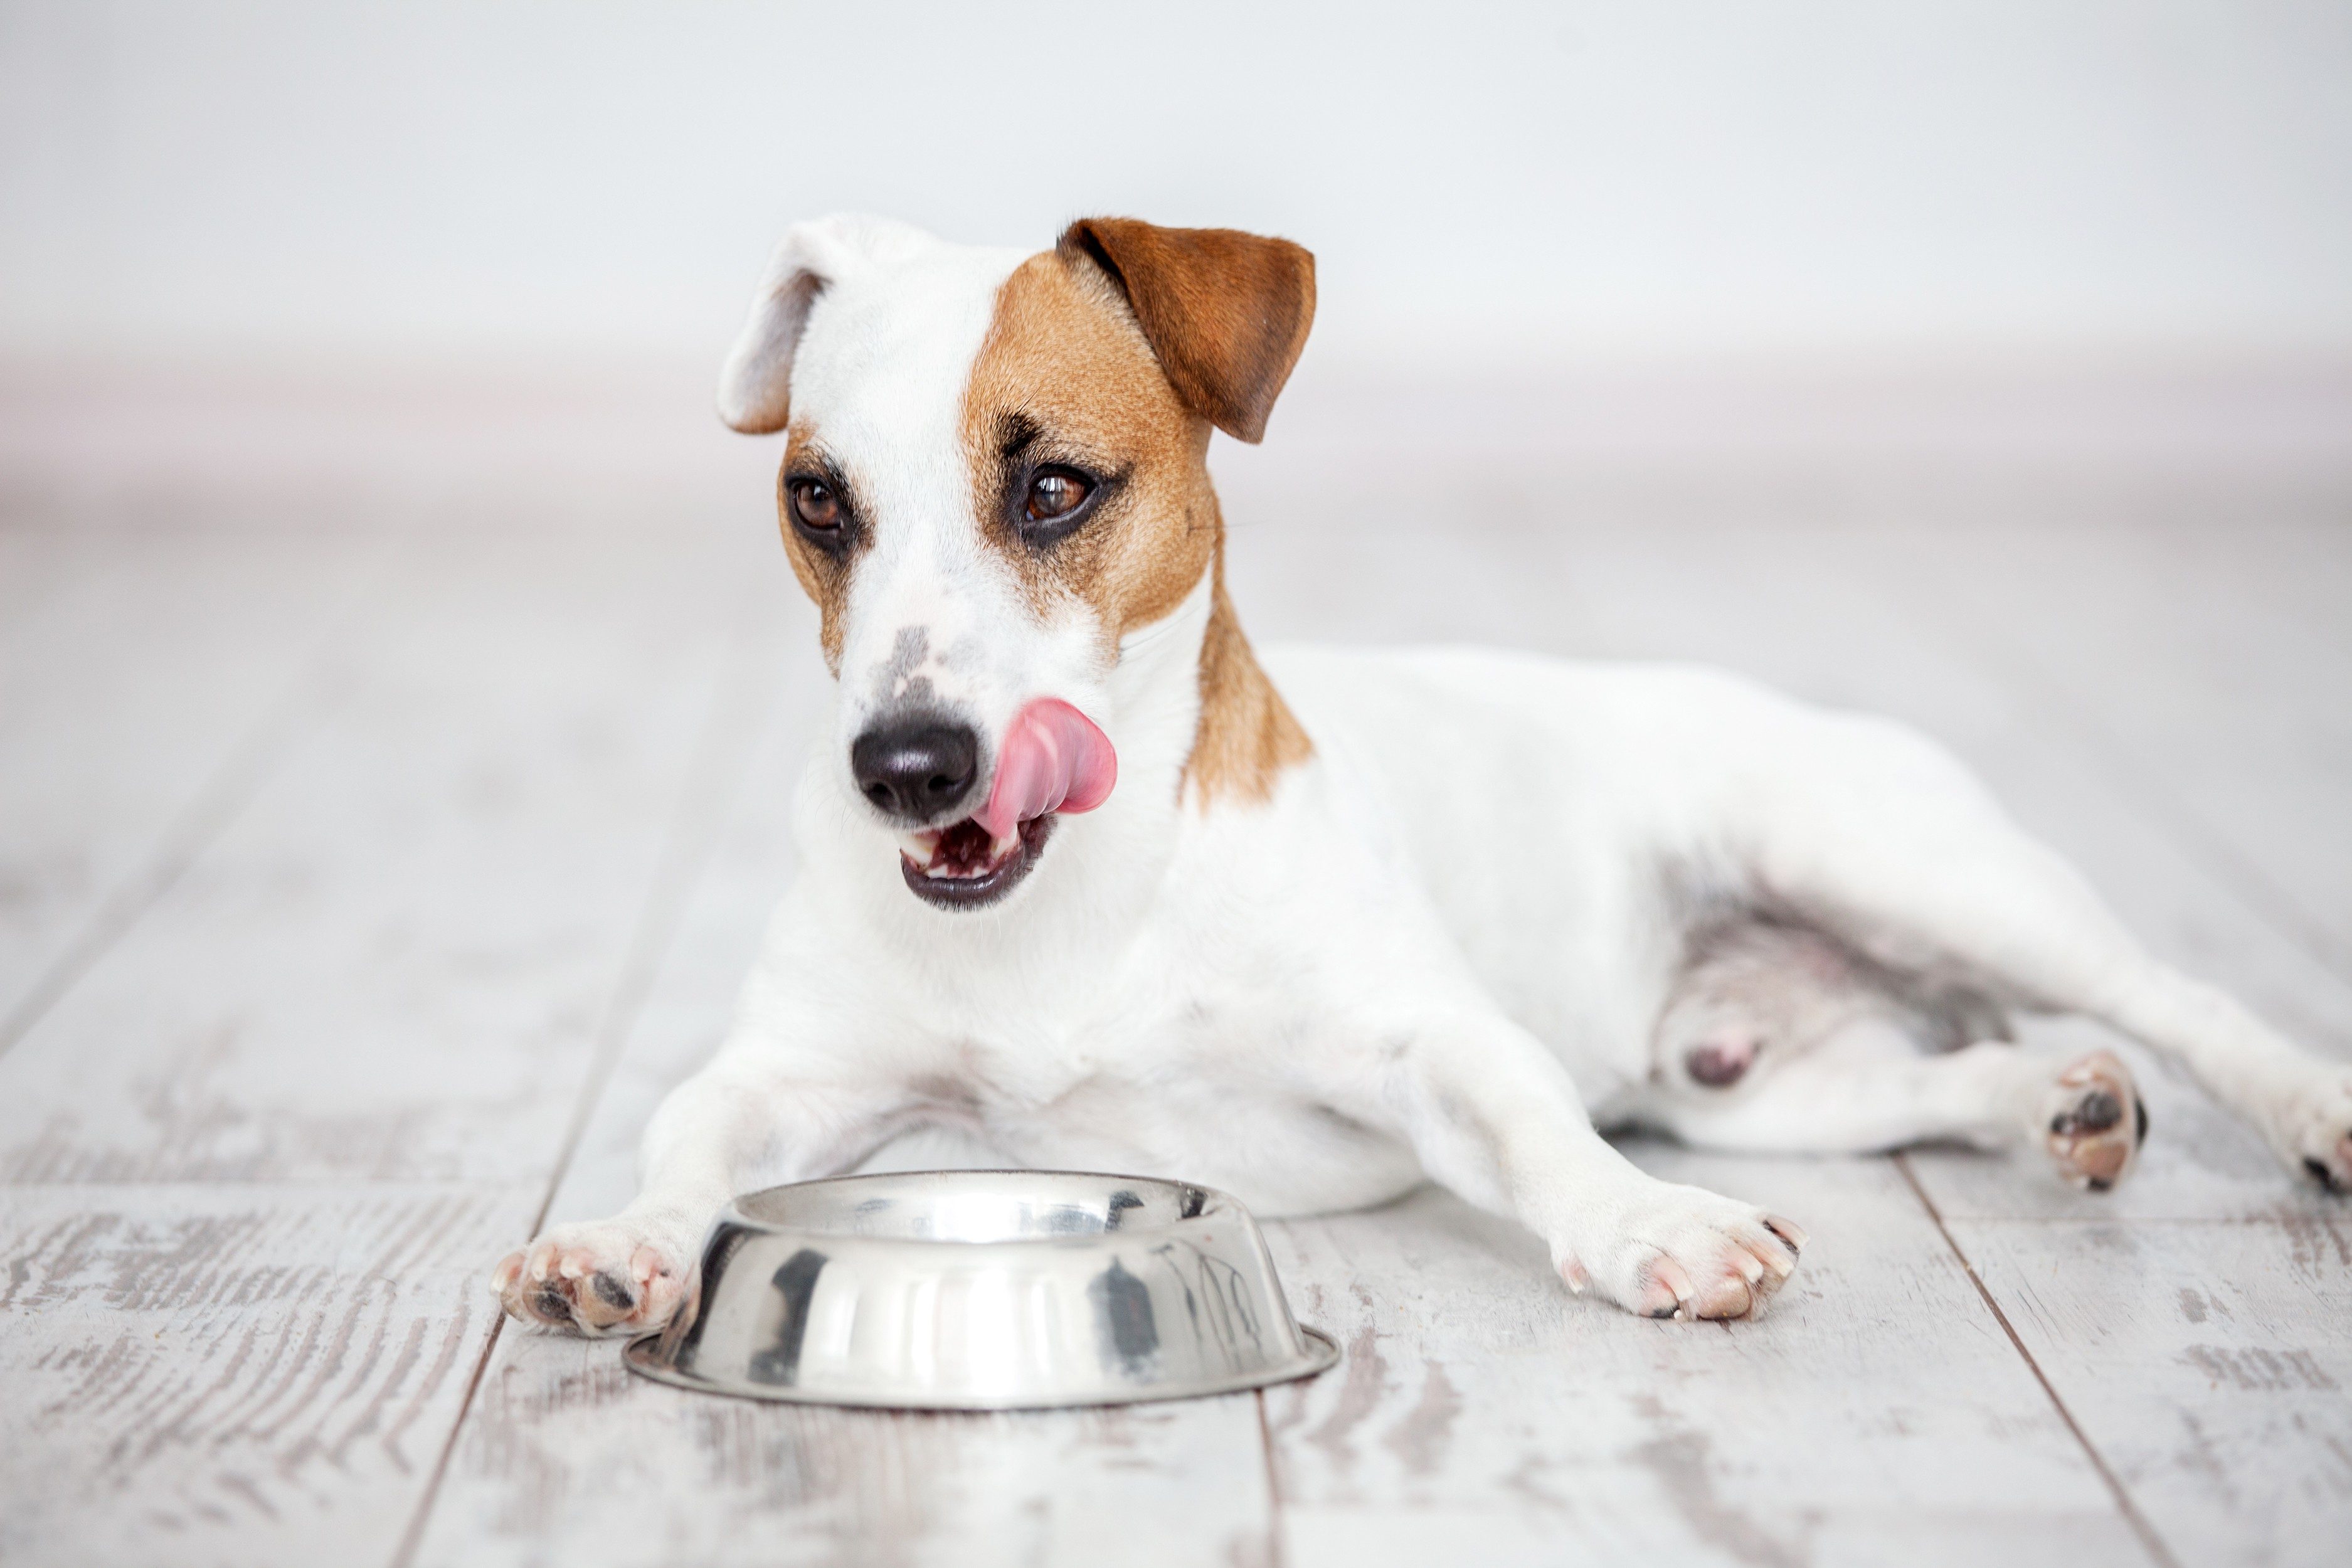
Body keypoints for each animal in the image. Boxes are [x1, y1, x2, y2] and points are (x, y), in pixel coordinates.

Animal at [491, 215, 2352, 1335]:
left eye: (1053, 489)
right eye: (819, 502)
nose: (903, 763)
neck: (1084, 898)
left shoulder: (1425, 1040)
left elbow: (1529, 1125)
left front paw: (1646, 1230)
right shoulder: (791, 1073)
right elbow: (691, 1129)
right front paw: (622, 1236)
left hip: (1897, 861)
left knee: (2172, 998)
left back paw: (2299, 1105)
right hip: (1741, 1082)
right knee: (1928, 1078)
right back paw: (2046, 1101)